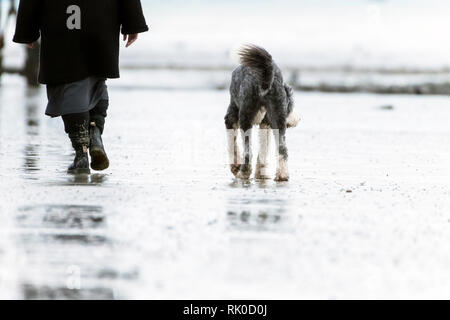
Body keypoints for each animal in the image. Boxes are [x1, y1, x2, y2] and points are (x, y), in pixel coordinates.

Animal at [224, 45, 298, 181]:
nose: (297, 119)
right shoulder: (266, 123)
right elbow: (264, 147)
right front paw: (261, 174)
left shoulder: (230, 118)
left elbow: (232, 143)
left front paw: (235, 167)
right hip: (277, 117)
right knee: (282, 148)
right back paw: (282, 174)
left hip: (245, 118)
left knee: (248, 151)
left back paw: (243, 172)